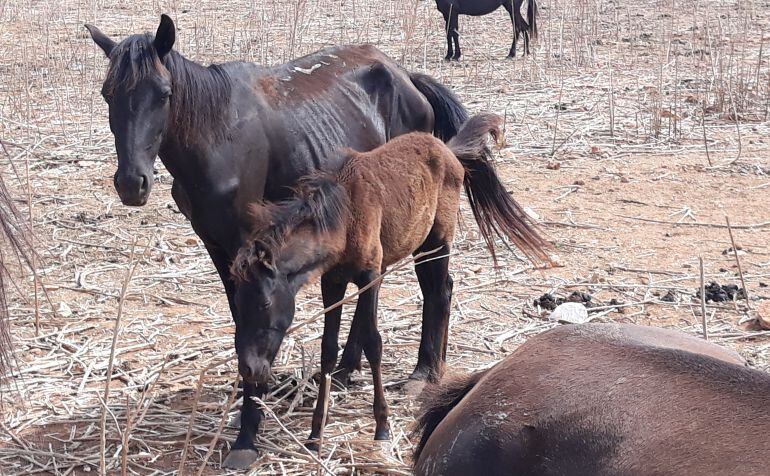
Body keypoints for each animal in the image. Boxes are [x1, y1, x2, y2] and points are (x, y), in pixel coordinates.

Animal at [231, 113, 548, 448]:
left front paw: (382, 426)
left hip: (437, 241)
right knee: (443, 288)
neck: (344, 215)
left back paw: (429, 373)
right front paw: (316, 434)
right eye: (237, 302)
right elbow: (328, 350)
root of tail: (448, 149)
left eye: (265, 303)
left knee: (440, 292)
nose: (249, 369)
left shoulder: (371, 275)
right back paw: (437, 365)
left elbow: (374, 343)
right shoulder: (333, 282)